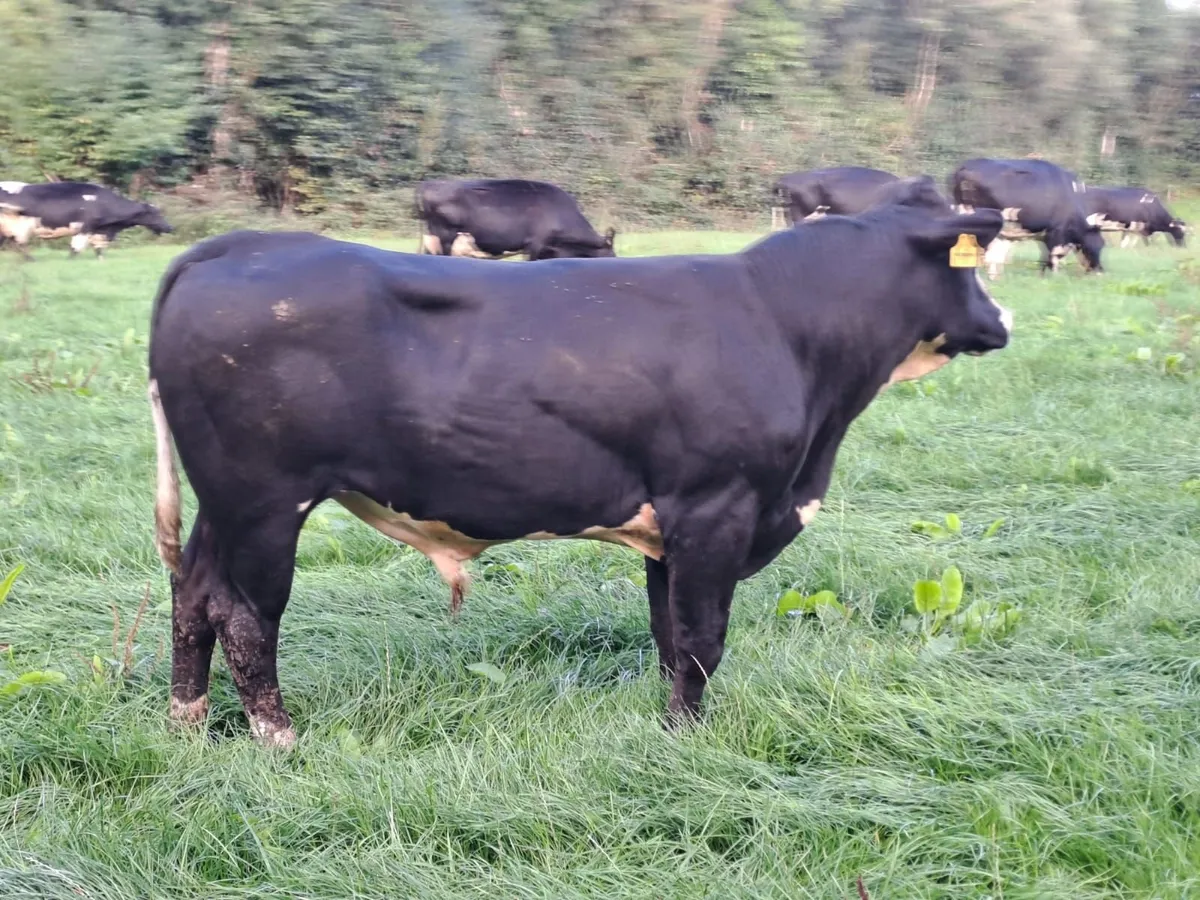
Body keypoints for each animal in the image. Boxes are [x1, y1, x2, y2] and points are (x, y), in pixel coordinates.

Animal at [0, 180, 172, 260]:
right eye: (155, 214)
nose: (169, 227)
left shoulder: (99, 231)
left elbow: (98, 249)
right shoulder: (85, 228)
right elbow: (75, 248)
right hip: (17, 226)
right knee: (20, 244)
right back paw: (32, 260)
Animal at [147, 200, 1012, 748]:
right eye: (968, 272)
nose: (1002, 322)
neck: (785, 325)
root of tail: (240, 244)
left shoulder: (673, 524)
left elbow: (670, 638)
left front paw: (671, 724)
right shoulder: (718, 507)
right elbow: (704, 638)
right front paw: (688, 741)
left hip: (222, 503)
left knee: (192, 596)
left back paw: (187, 722)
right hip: (265, 501)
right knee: (247, 617)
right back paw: (278, 737)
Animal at [949, 158, 1105, 278]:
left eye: (1103, 245)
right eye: (1093, 245)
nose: (1100, 271)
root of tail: (968, 165)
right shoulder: (1056, 232)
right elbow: (1054, 255)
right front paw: (1051, 275)